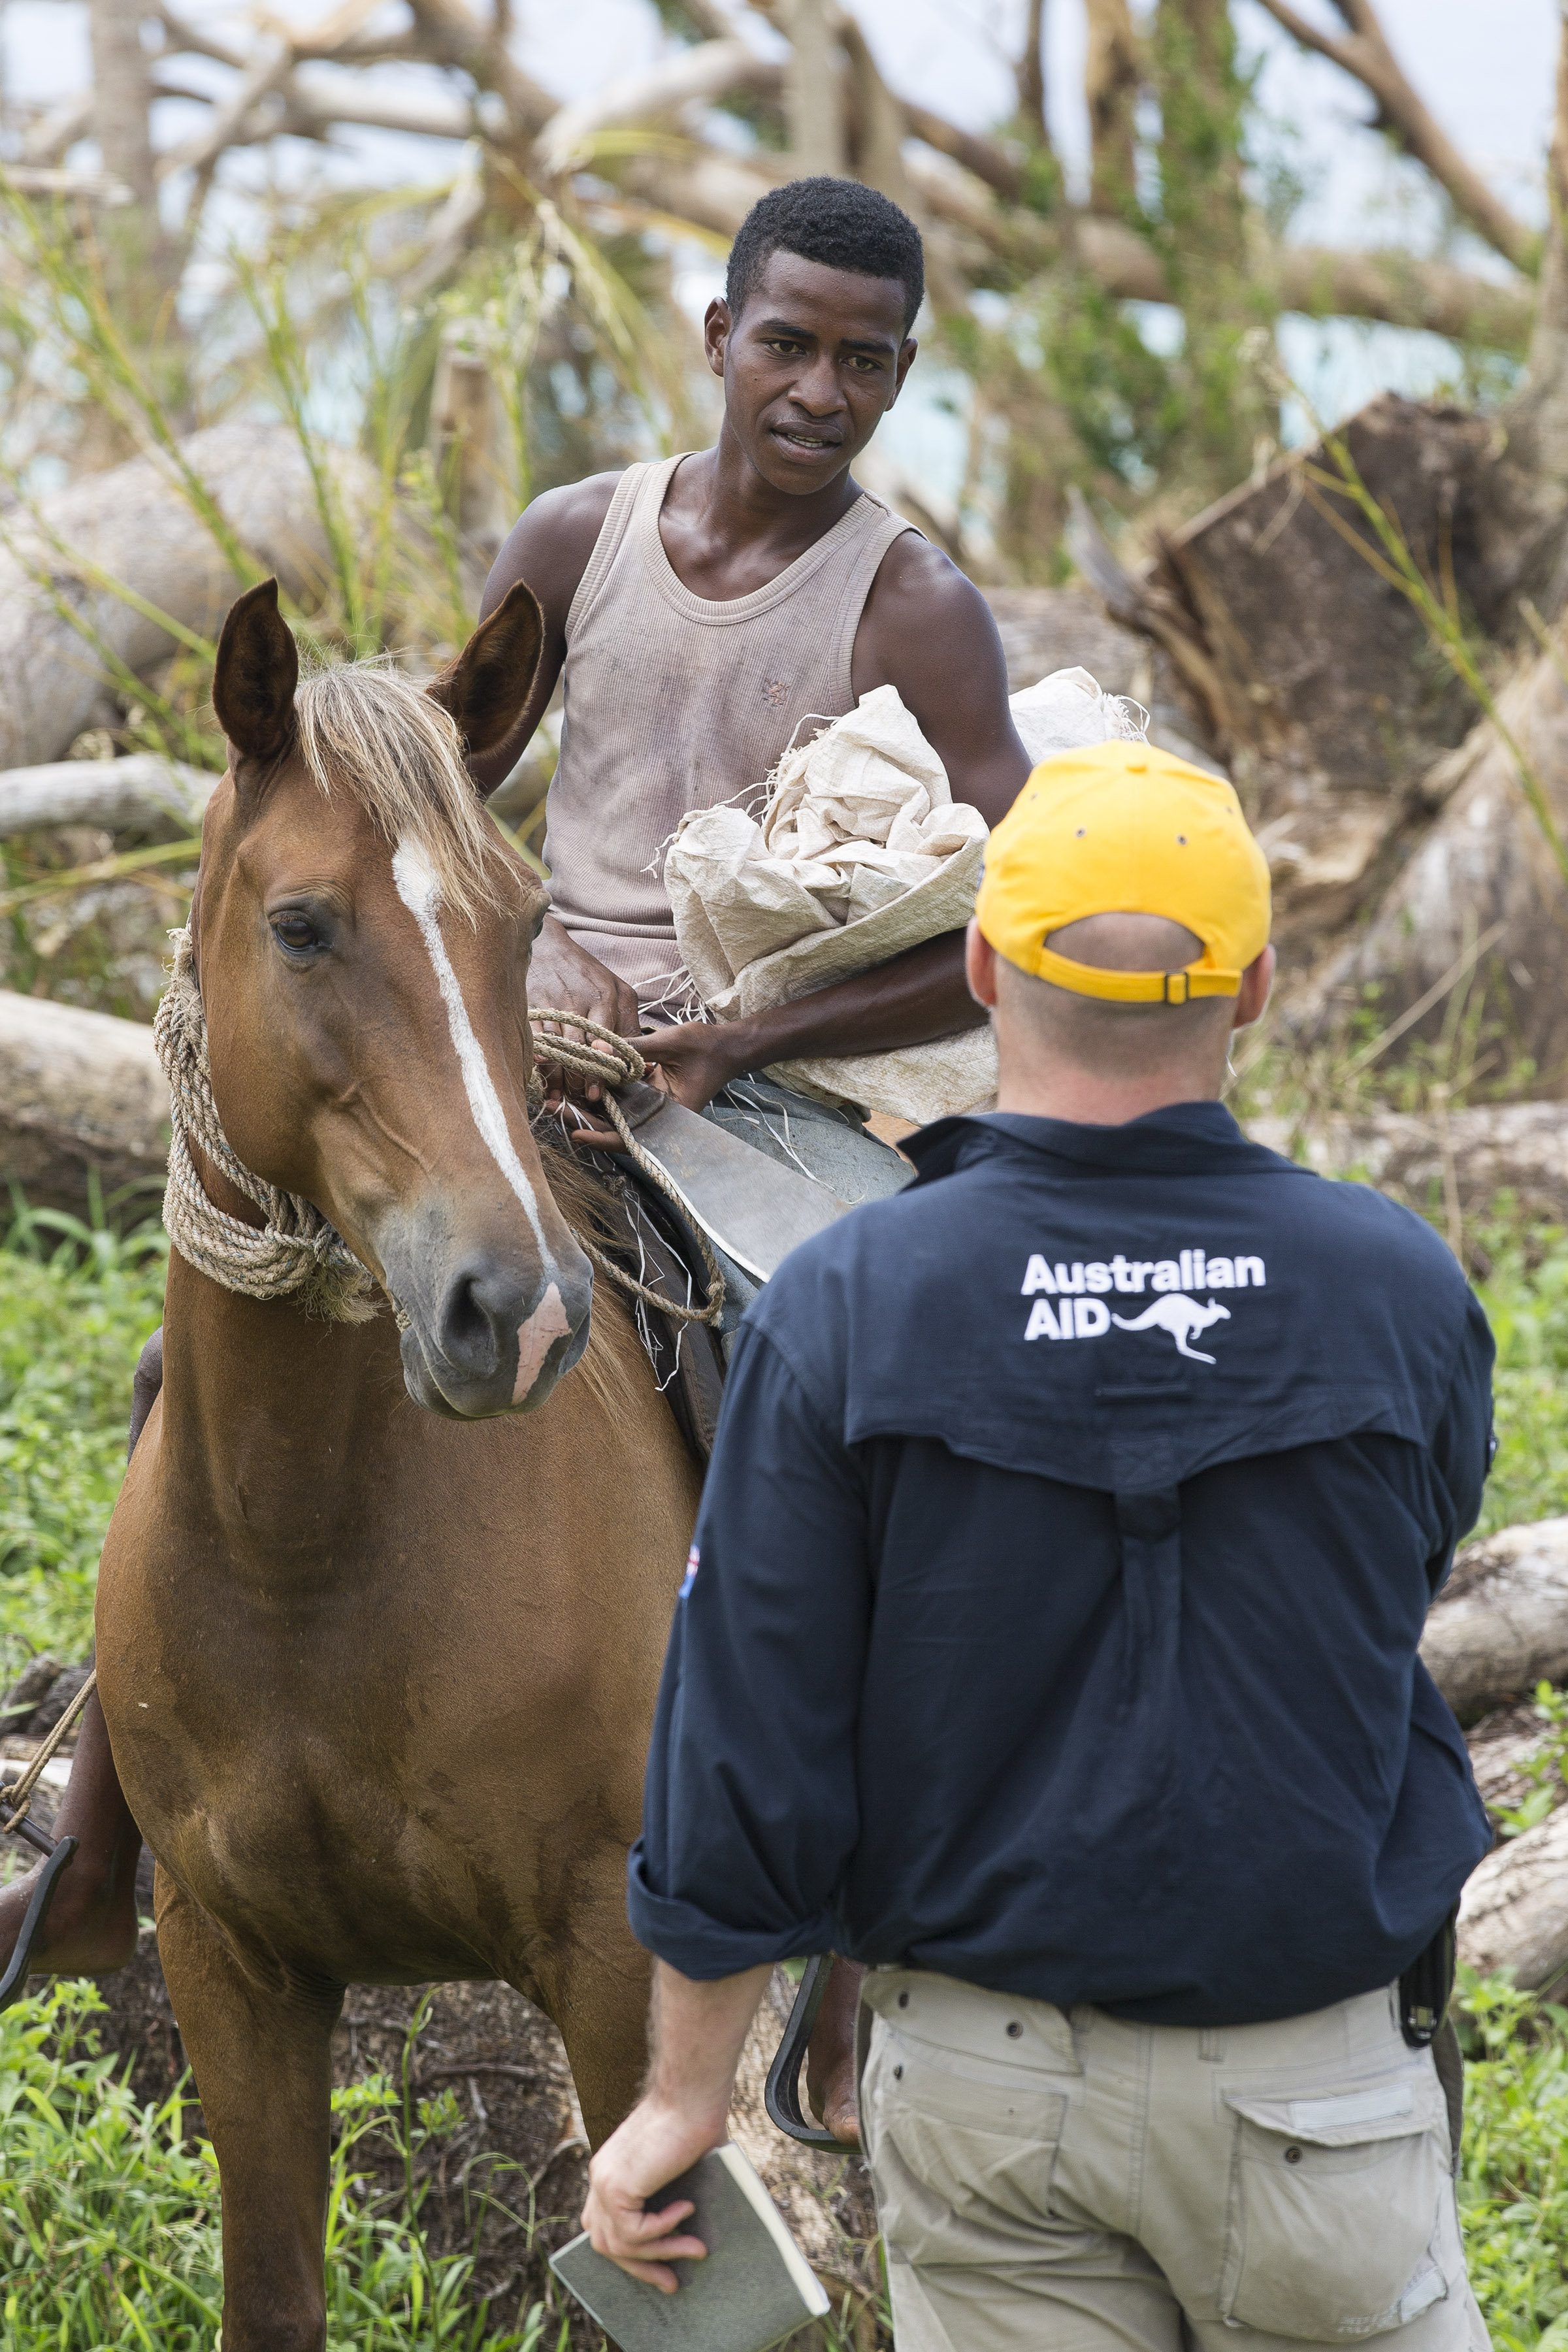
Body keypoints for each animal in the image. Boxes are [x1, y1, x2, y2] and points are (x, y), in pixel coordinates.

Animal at [88, 583, 700, 2352]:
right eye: (300, 925)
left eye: (518, 926)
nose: (522, 1311)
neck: (301, 1555)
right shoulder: (230, 1970)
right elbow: (273, 2296)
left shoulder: (615, 1972)